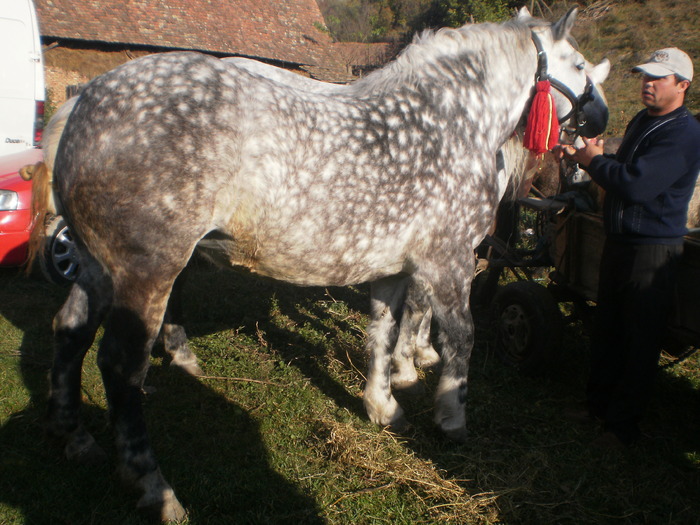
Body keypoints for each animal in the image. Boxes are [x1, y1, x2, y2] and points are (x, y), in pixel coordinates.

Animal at [47, 8, 608, 520]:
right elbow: (459, 340)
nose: (600, 121)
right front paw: (450, 419)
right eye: (580, 65)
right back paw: (154, 485)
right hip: (148, 272)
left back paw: (76, 439)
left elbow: (383, 334)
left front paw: (383, 405)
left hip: (98, 268)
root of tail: (84, 99)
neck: (449, 124)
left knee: (70, 331)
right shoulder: (448, 261)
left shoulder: (392, 270)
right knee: (121, 367)